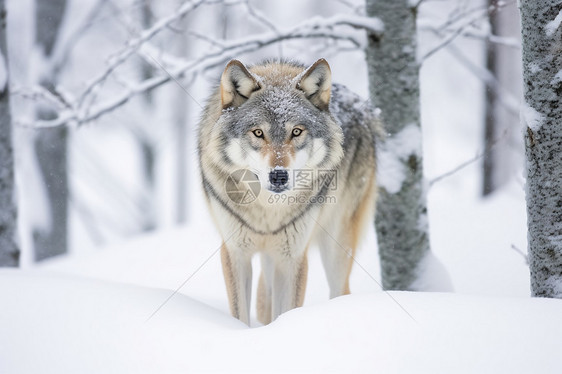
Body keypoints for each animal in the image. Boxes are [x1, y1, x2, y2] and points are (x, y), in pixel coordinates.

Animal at [196, 57, 376, 324]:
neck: (268, 211)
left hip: (336, 247)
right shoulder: (235, 253)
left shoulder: (292, 258)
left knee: (341, 290)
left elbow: (287, 310)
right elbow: (241, 315)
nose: (279, 176)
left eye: (296, 131)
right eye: (258, 133)